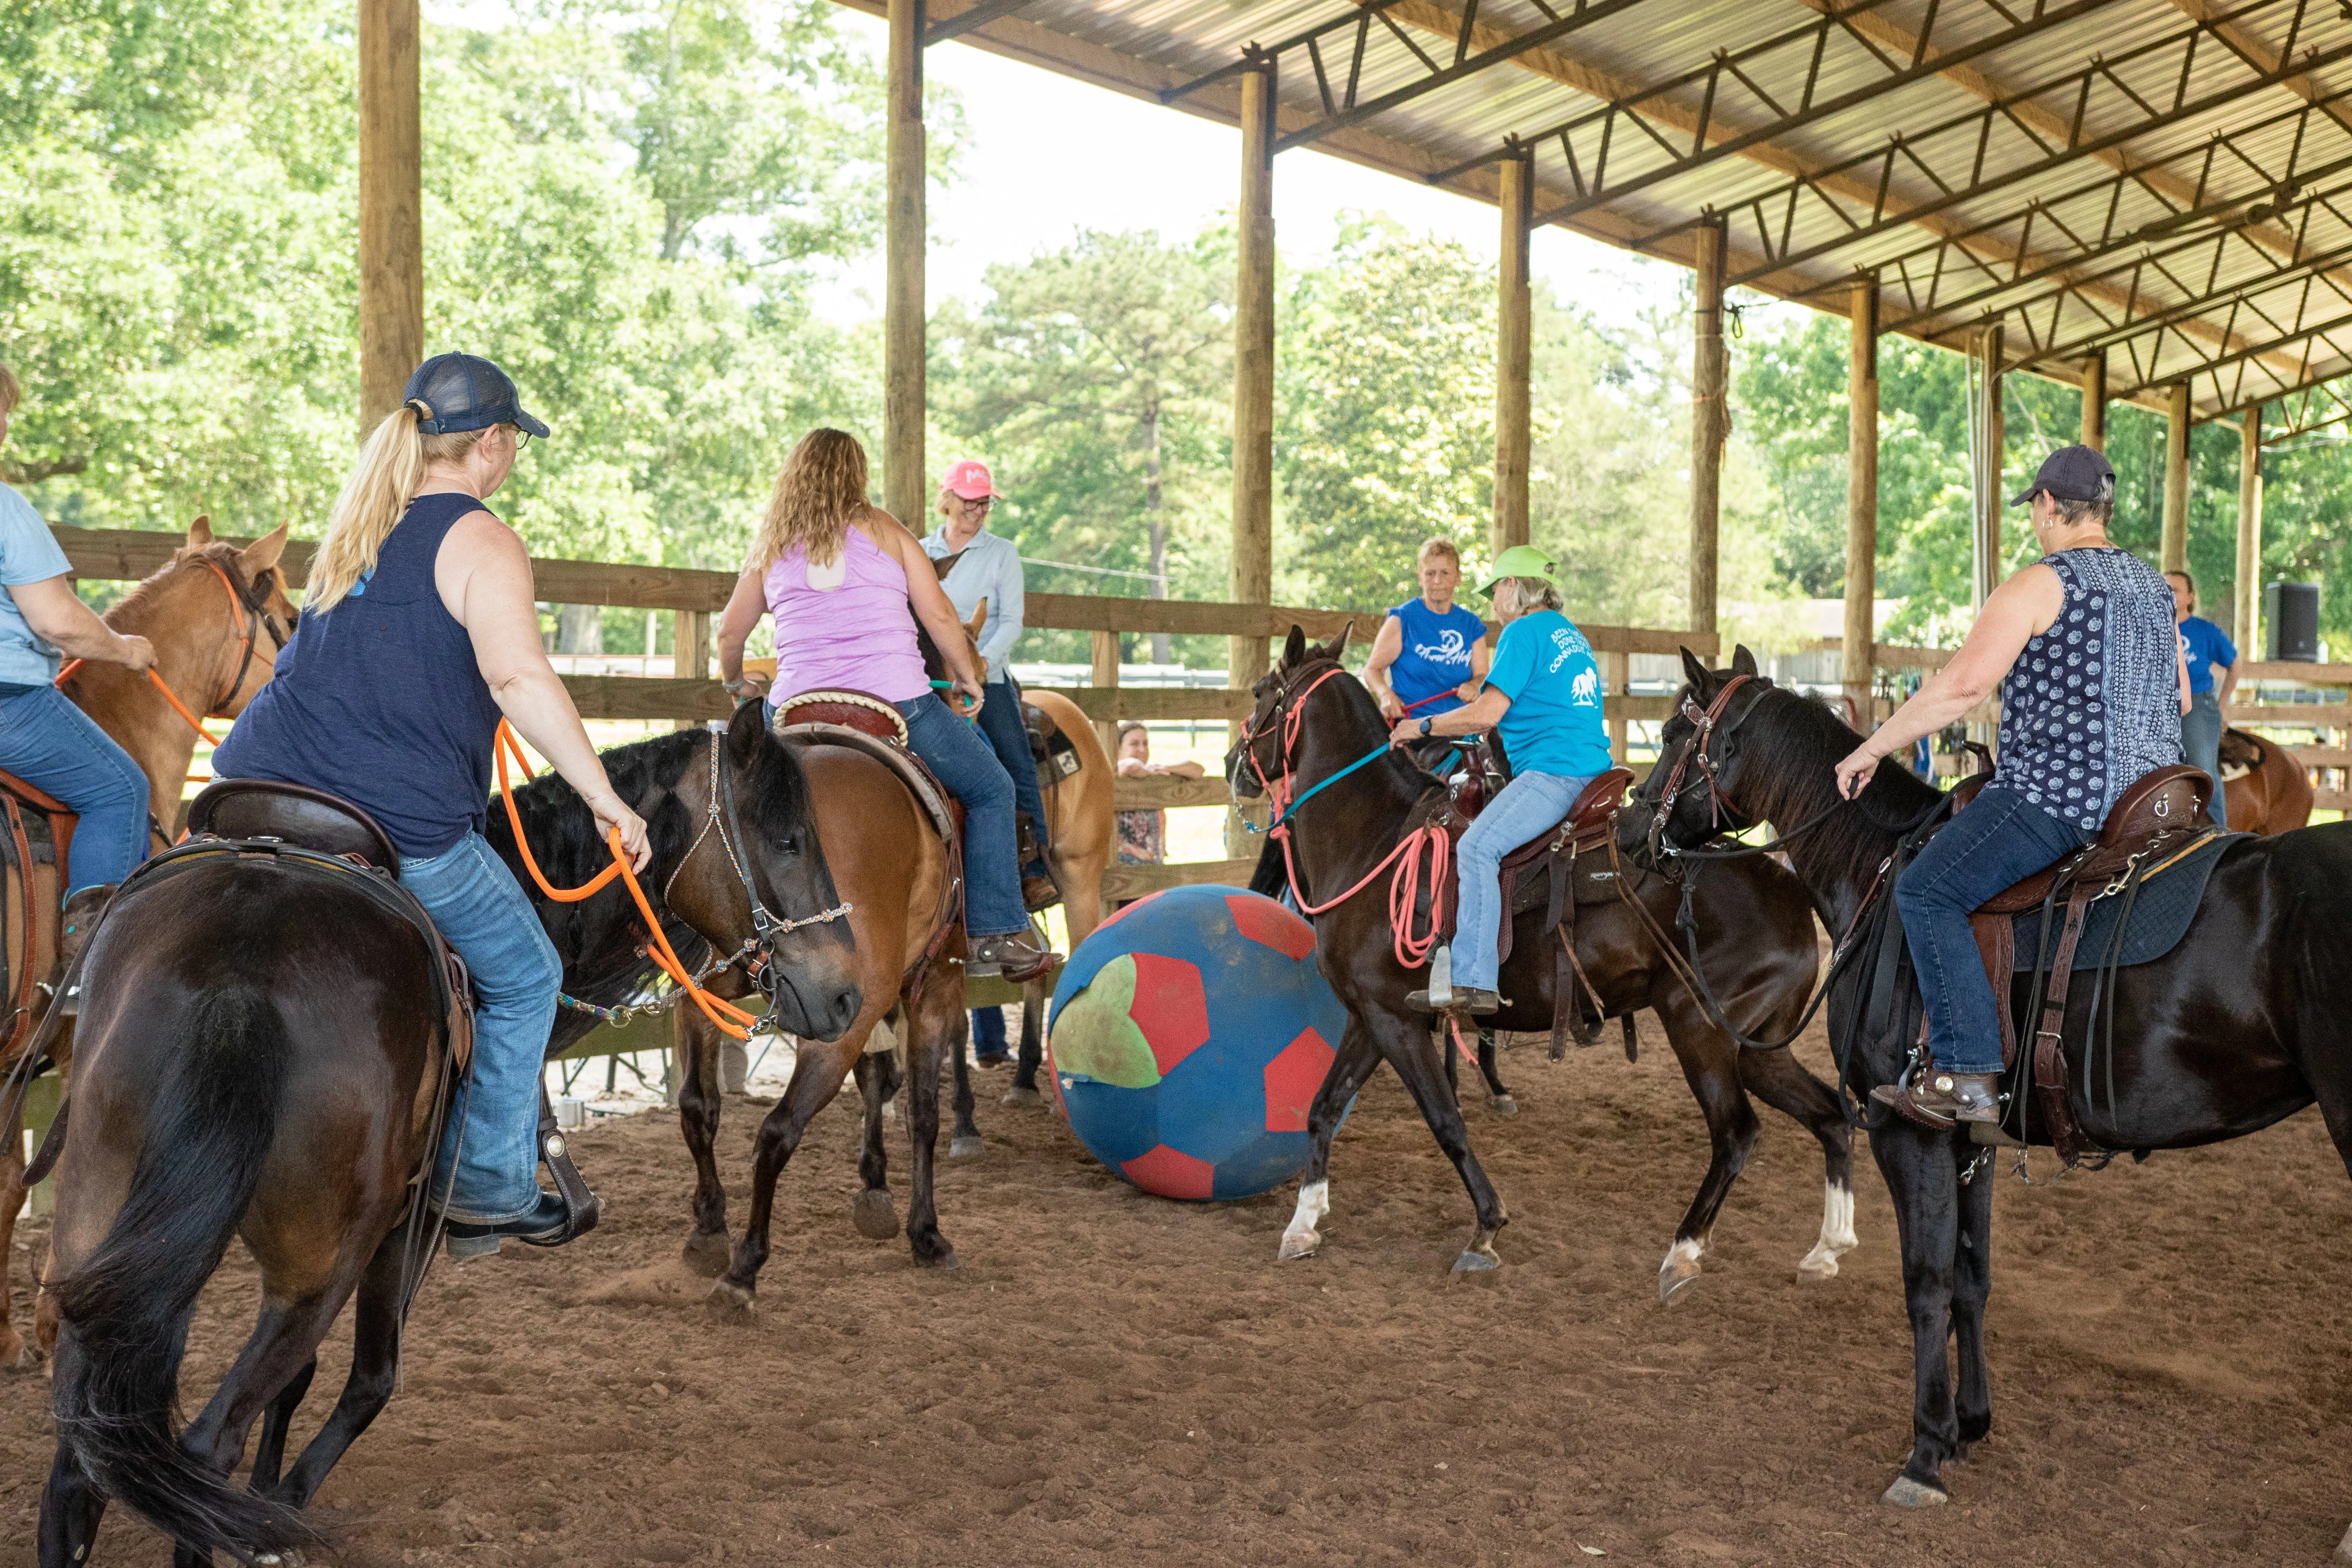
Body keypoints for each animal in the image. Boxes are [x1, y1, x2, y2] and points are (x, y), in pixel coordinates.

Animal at [34, 710, 865, 1568]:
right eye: (790, 840)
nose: (846, 994)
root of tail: (240, 976)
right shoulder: (406, 1227)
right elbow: (371, 1378)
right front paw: (279, 1510)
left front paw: (269, 1499)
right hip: (318, 1265)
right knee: (205, 1446)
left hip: (106, 1229)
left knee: (83, 1456)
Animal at [1232, 625, 1853, 1288]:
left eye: (1261, 691)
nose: (1233, 763)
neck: (1375, 838)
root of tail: (1790, 888)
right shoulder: (1369, 1015)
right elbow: (1323, 1108)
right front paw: (1303, 1223)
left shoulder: (1396, 1021)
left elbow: (1445, 1121)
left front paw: (1486, 1226)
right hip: (1761, 1046)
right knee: (1832, 1116)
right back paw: (1827, 1247)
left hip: (1699, 1026)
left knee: (1738, 1132)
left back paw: (1684, 1249)